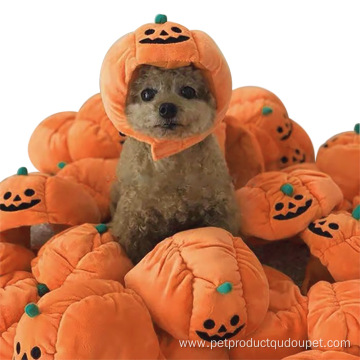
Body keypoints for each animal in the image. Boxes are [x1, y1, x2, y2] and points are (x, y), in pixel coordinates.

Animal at [109, 64, 239, 262]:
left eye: (188, 91)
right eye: (146, 94)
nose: (167, 108)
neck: (171, 155)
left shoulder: (220, 207)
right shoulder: (132, 219)